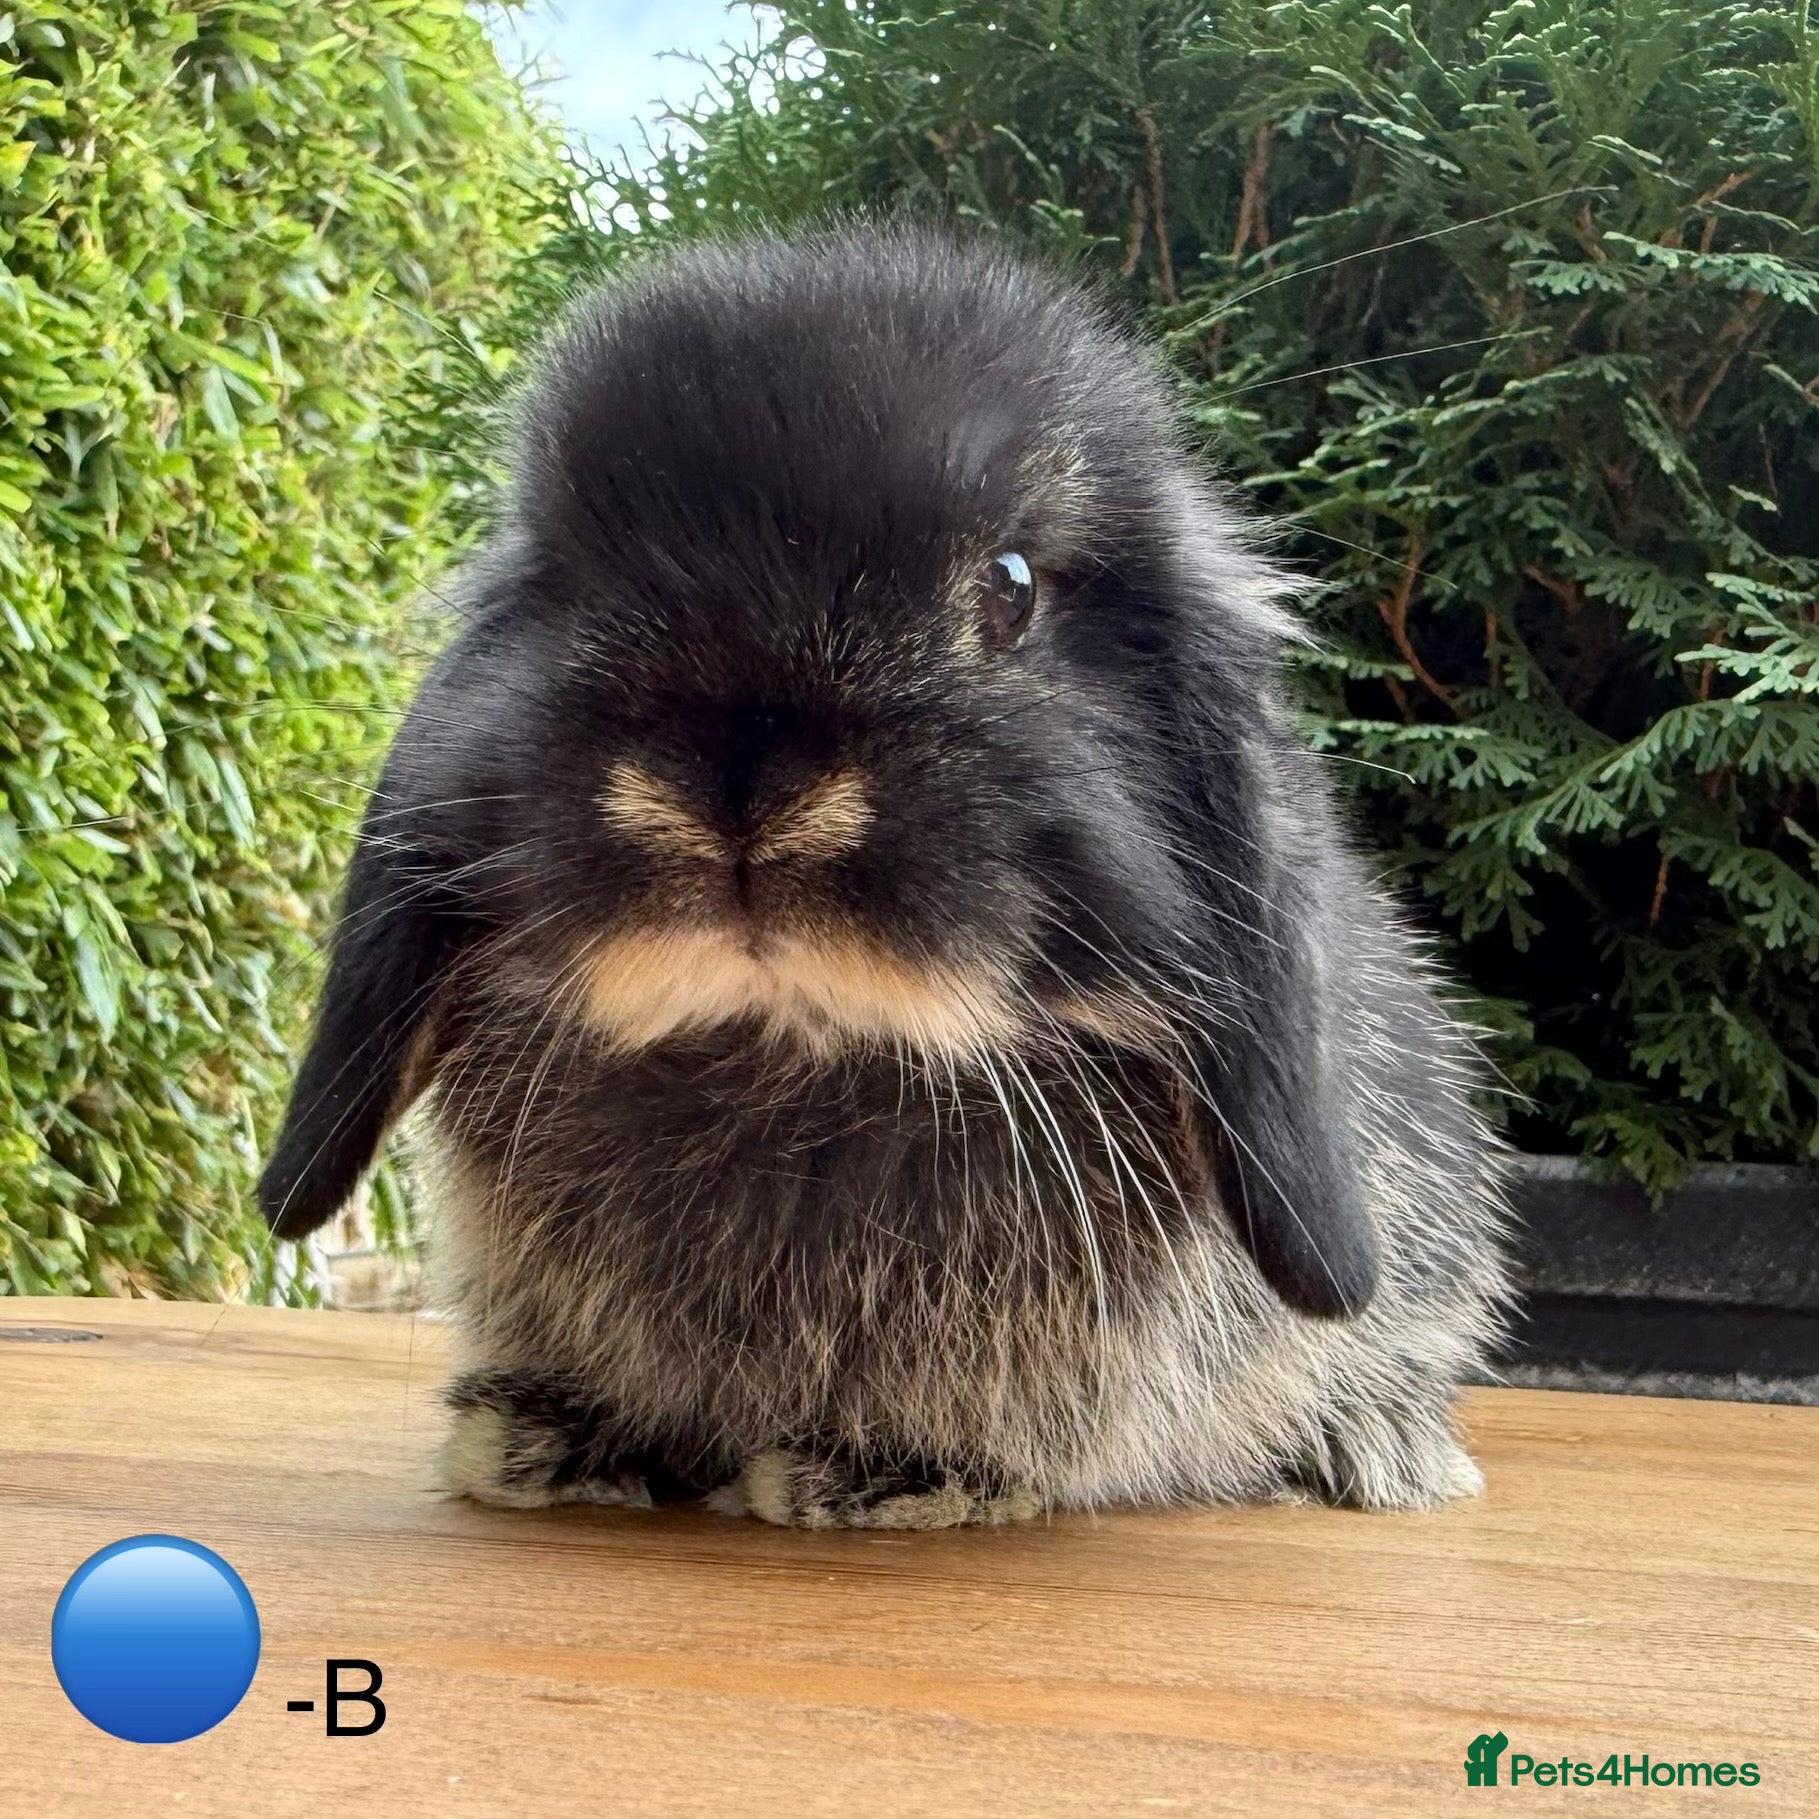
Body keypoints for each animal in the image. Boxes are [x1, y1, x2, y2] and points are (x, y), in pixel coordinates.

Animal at [259, 221, 1510, 1529]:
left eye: (1011, 586)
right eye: (561, 579)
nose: (738, 788)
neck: (790, 1049)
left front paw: (874, 1474)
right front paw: (542, 1437)